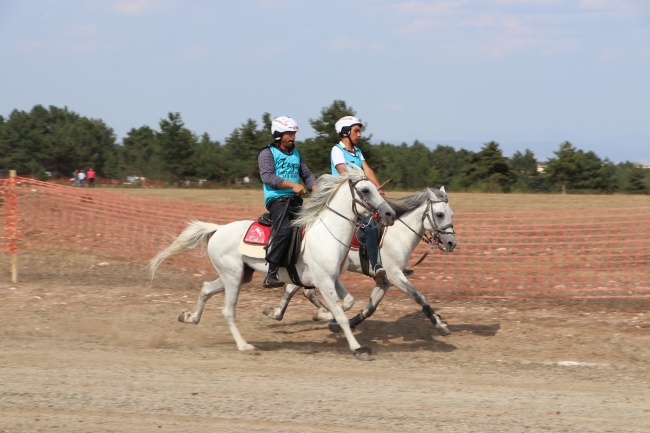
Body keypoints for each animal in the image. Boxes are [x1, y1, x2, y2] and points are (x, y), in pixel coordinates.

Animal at [150, 165, 394, 358]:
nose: (390, 214)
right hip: (233, 276)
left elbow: (348, 303)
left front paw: (323, 315)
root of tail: (218, 229)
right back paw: (244, 345)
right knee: (227, 311)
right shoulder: (323, 281)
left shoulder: (332, 279)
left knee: (206, 288)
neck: (326, 234)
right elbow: (341, 315)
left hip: (239, 275)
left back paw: (189, 317)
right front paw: (357, 348)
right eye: (365, 190)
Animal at [264, 186, 456, 334]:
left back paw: (281, 313)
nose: (452, 243)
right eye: (440, 214)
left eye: (451, 214)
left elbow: (371, 308)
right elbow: (419, 297)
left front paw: (345, 324)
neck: (399, 234)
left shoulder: (384, 281)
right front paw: (440, 324)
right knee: (295, 289)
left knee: (300, 290)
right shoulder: (395, 275)